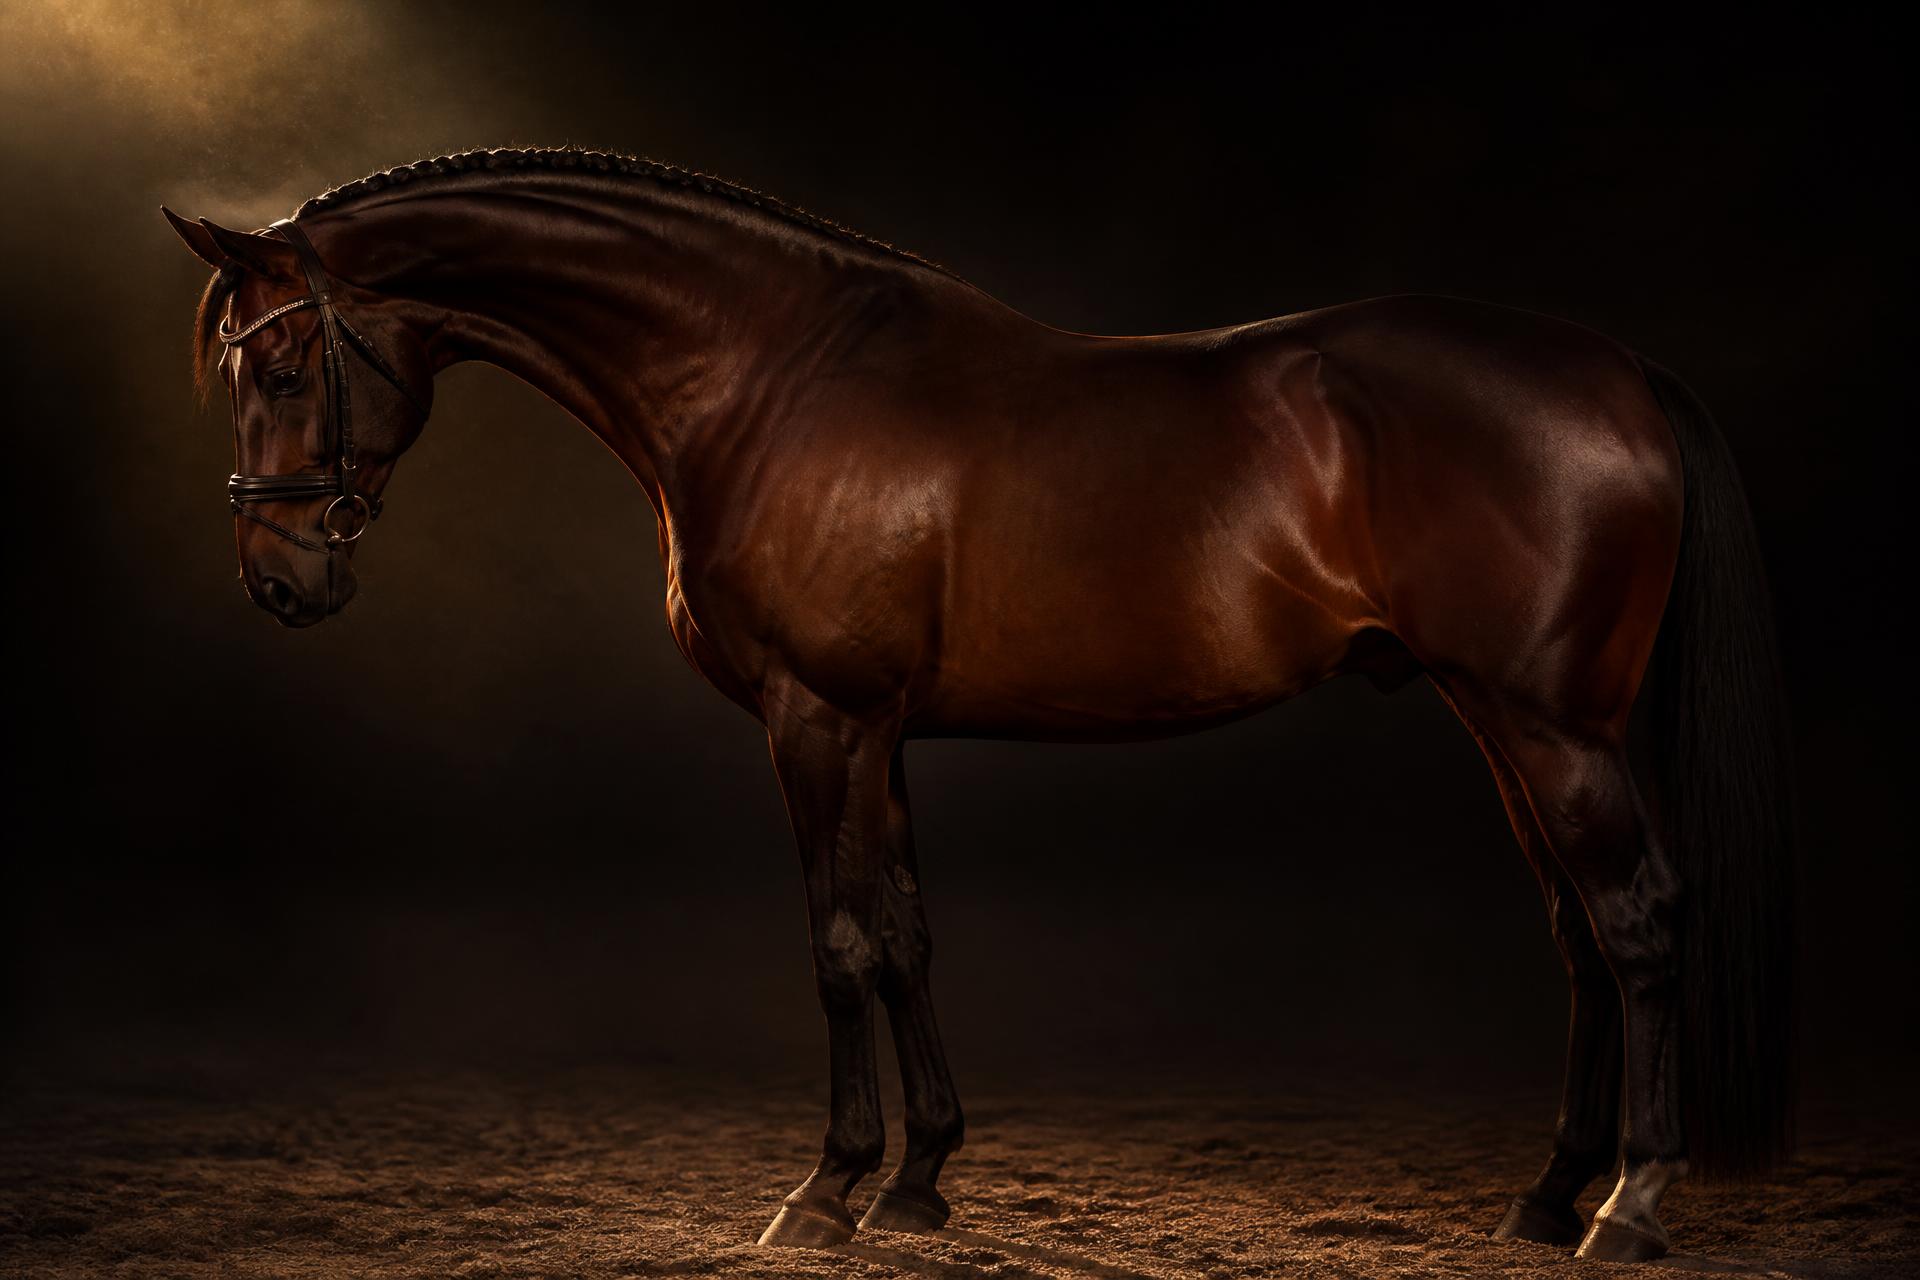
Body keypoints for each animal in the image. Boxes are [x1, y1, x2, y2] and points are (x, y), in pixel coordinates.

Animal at [164, 146, 1793, 1264]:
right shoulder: (879, 731)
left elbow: (835, 943)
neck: (770, 378)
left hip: (1554, 726)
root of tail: (1619, 371)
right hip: (1498, 719)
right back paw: (1547, 1192)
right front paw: (921, 1177)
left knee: (1636, 922)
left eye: (289, 361)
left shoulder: (814, 718)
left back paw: (1632, 1203)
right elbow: (904, 934)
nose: (280, 581)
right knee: (1578, 938)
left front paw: (825, 1189)